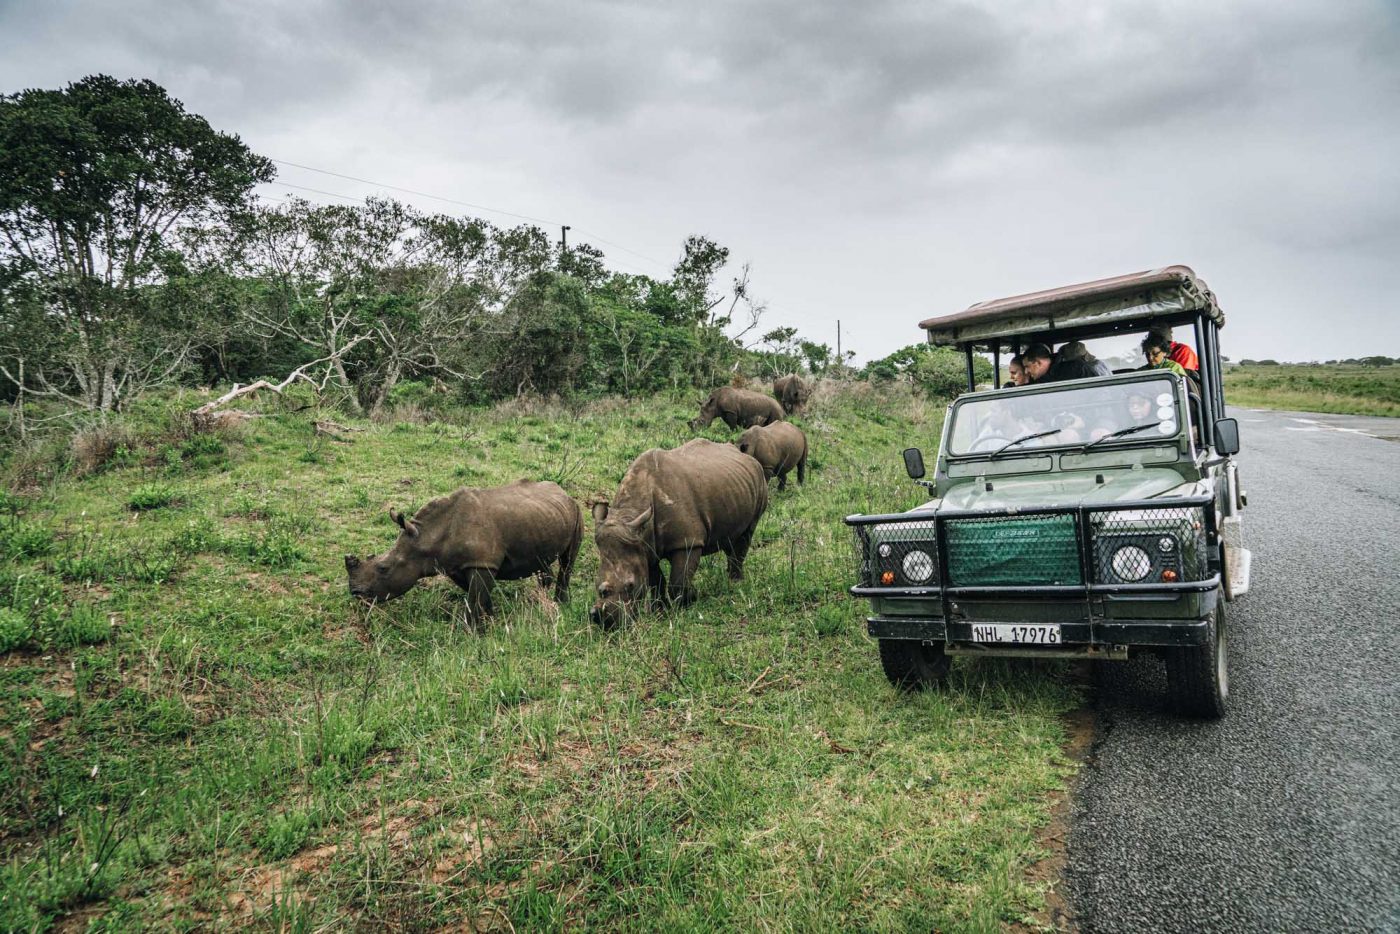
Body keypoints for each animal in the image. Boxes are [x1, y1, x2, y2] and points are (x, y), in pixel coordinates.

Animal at [347, 478, 582, 624]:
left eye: (383, 568)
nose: (356, 593)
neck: (428, 536)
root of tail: (563, 492)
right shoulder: (455, 565)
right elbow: (476, 595)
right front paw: (490, 617)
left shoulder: (482, 563)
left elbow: (474, 598)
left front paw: (474, 633)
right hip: (544, 516)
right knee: (542, 560)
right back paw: (542, 596)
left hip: (577, 510)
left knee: (568, 560)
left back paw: (561, 603)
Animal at [588, 439, 772, 627]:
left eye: (631, 585)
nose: (606, 623)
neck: (630, 513)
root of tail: (744, 455)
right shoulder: (645, 546)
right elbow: (655, 581)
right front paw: (659, 611)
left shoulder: (687, 542)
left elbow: (678, 581)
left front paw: (689, 601)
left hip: (759, 482)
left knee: (746, 535)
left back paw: (735, 583)